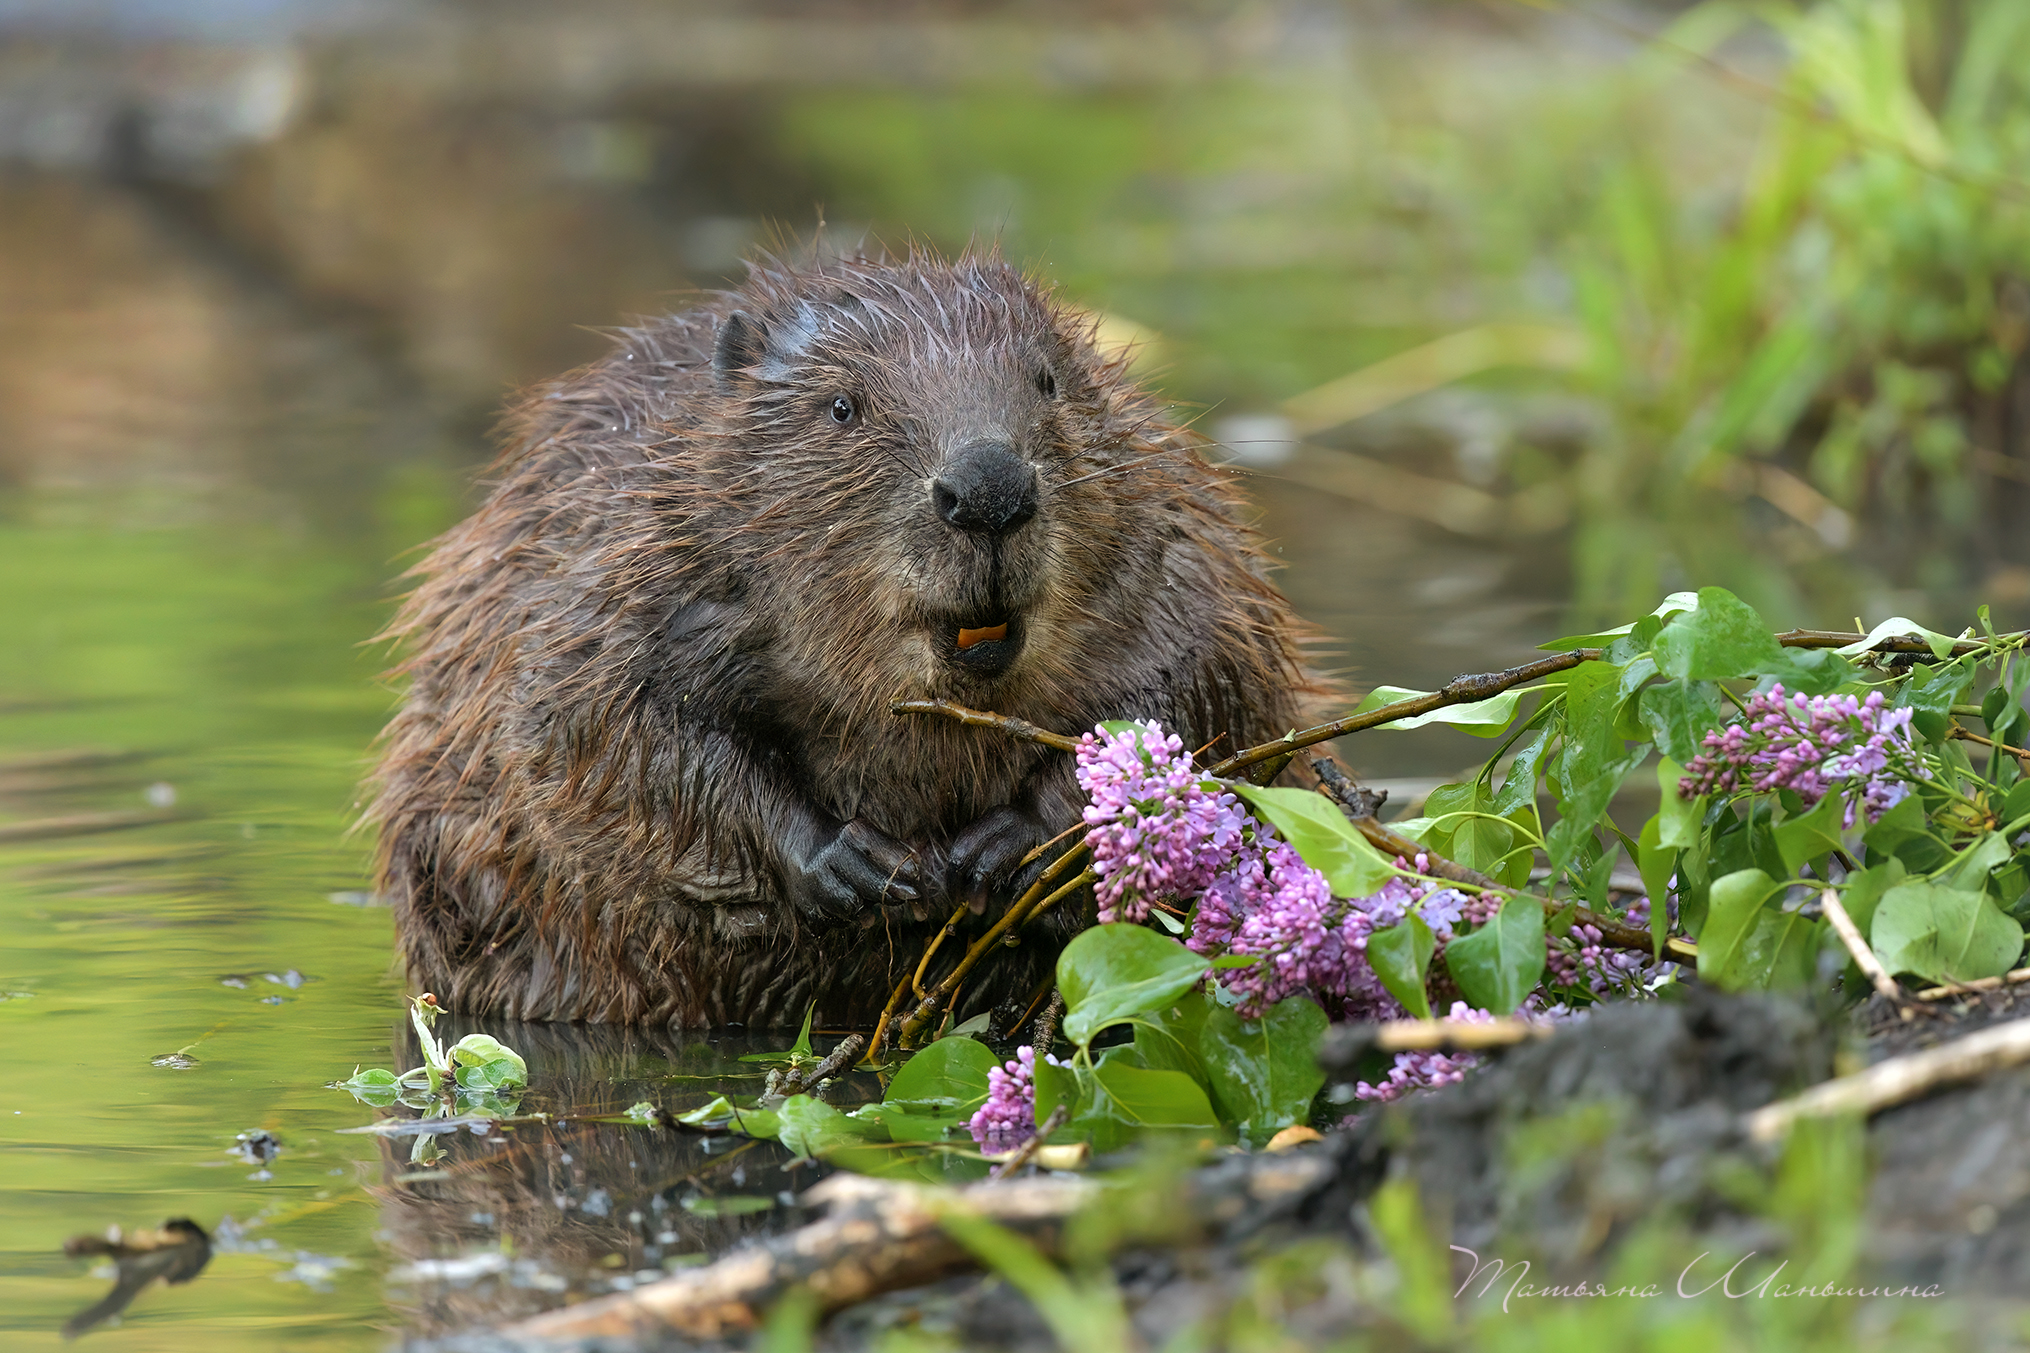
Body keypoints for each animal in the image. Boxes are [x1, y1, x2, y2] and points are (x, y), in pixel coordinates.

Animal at [365, 248, 1315, 1026]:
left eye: (1048, 381)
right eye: (842, 406)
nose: (989, 487)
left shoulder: (1178, 546)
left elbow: (1200, 684)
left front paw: (1002, 846)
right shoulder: (630, 562)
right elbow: (592, 723)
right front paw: (855, 864)